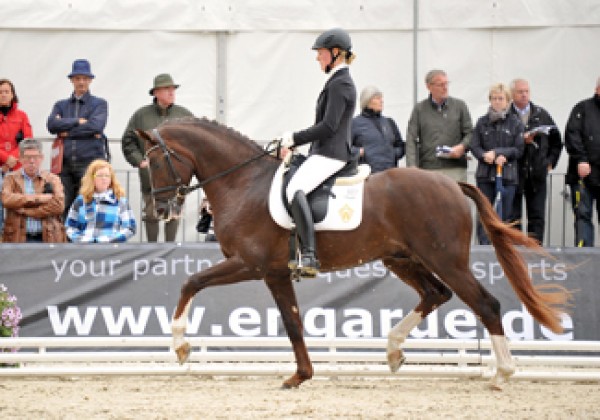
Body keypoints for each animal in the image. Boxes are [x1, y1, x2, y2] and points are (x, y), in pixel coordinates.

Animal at [138, 118, 568, 390]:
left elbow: (196, 283)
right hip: (402, 259)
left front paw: (181, 347)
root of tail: (451, 185)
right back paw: (393, 351)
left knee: (484, 303)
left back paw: (502, 373)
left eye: (155, 162)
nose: (159, 210)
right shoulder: (269, 271)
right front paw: (301, 375)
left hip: (445, 259)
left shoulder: (257, 266)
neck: (243, 183)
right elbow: (289, 319)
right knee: (436, 294)